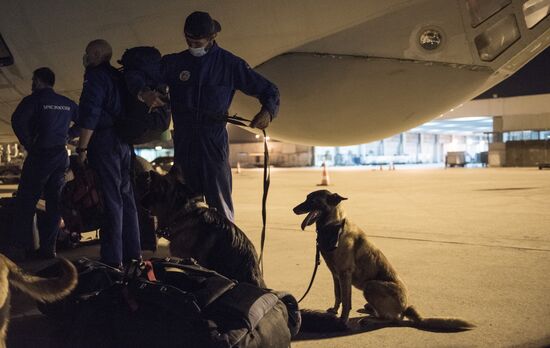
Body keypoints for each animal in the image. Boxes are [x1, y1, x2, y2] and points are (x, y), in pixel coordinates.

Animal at [296, 189, 476, 330]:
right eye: (306, 198)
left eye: (312, 200)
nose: (293, 209)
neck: (335, 226)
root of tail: (405, 307)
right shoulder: (336, 275)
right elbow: (337, 295)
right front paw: (334, 311)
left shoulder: (344, 274)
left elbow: (347, 301)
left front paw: (342, 321)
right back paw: (369, 310)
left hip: (371, 286)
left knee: (393, 319)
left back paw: (370, 319)